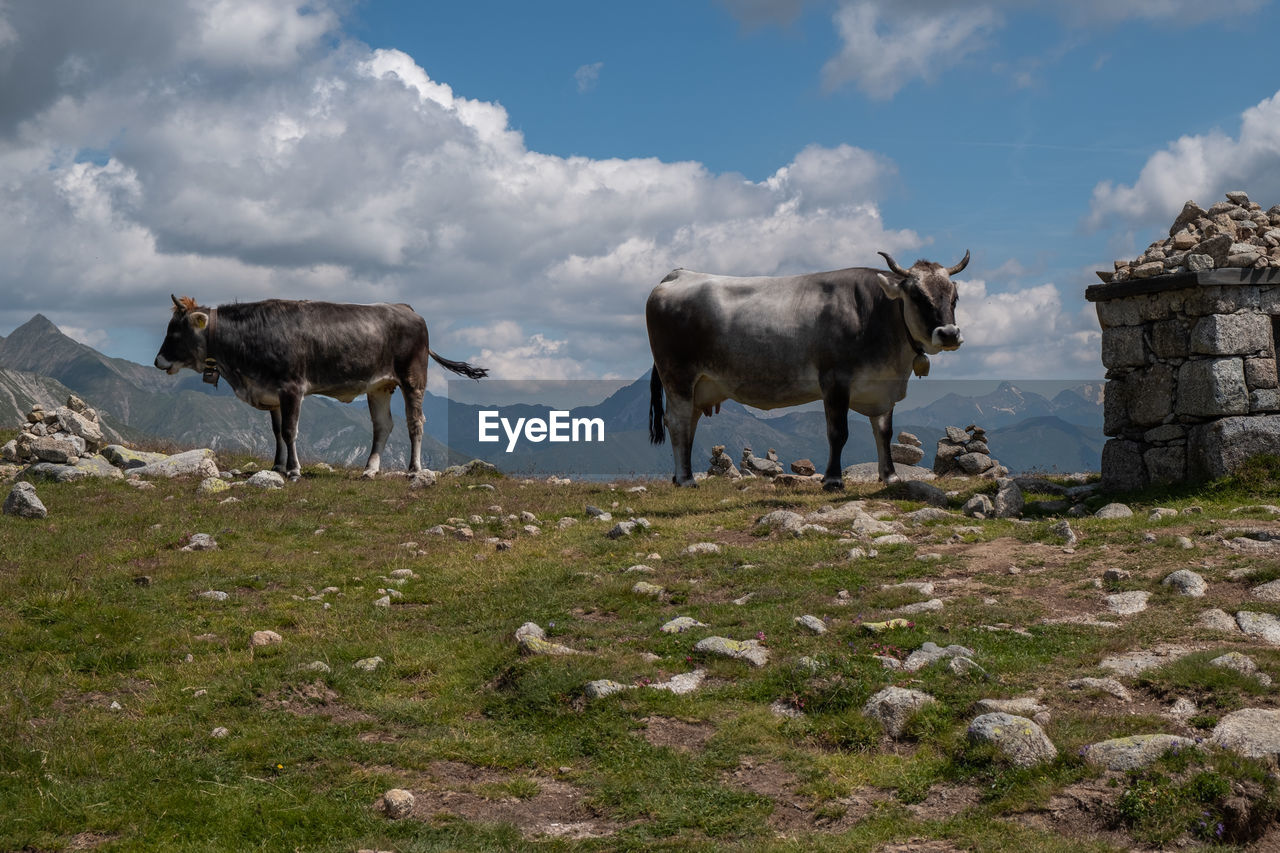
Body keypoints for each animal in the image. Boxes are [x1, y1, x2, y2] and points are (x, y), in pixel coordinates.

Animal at [154, 292, 483, 479]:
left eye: (176, 332)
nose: (158, 361)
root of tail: (405, 308)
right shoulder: (271, 392)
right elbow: (276, 432)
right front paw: (277, 467)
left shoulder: (291, 387)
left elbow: (290, 431)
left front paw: (294, 470)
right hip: (379, 386)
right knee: (383, 426)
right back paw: (370, 469)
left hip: (413, 378)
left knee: (415, 422)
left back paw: (414, 470)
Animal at [645, 249, 962, 489]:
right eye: (917, 296)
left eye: (954, 298)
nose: (949, 333)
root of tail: (678, 275)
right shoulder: (834, 381)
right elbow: (838, 432)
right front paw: (833, 479)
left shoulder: (882, 390)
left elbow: (884, 432)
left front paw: (891, 476)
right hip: (678, 376)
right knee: (678, 422)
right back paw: (686, 479)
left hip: (700, 385)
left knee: (689, 424)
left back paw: (679, 476)